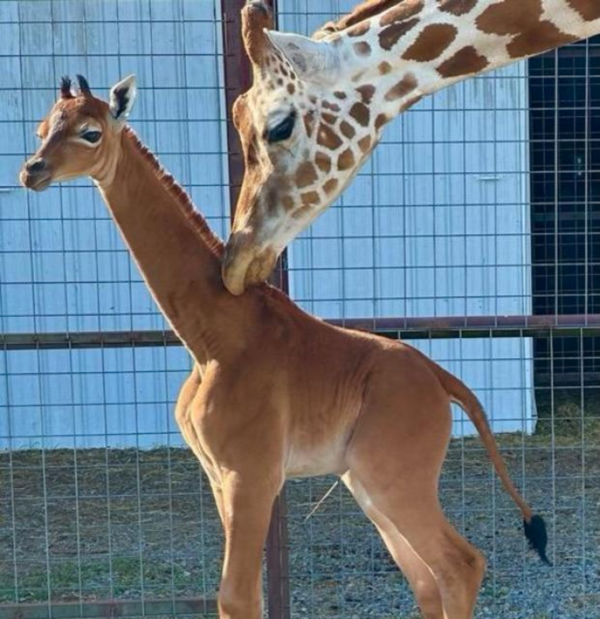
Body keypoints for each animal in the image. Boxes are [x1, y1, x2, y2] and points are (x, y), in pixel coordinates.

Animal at [19, 75, 548, 616]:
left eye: (90, 133)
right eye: (41, 129)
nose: (32, 171)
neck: (211, 337)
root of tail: (442, 380)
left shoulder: (250, 473)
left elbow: (236, 597)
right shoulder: (220, 476)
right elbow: (247, 596)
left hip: (394, 476)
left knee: (459, 564)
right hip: (366, 481)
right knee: (426, 579)